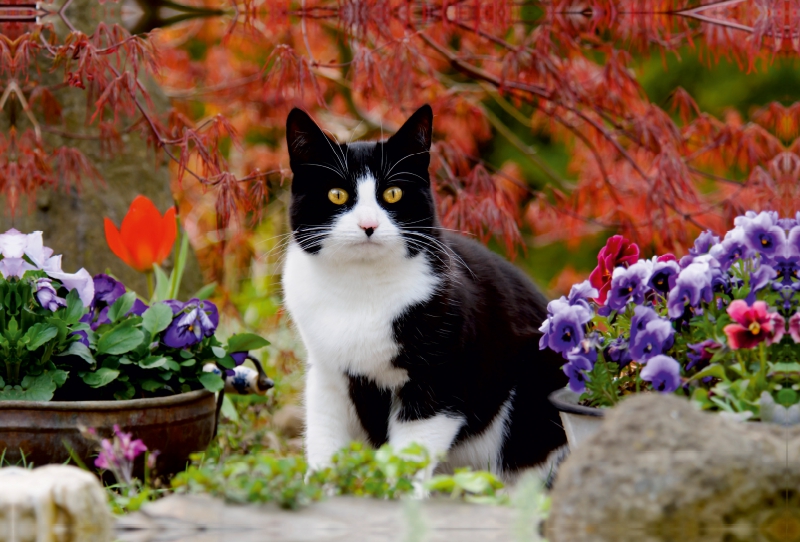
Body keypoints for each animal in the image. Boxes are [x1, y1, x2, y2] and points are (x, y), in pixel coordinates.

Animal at [282, 105, 568, 484]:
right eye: (337, 194)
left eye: (392, 193)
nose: (368, 225)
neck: (360, 290)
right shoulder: (327, 376)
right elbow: (324, 444)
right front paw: (320, 490)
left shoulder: (440, 379)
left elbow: (410, 454)